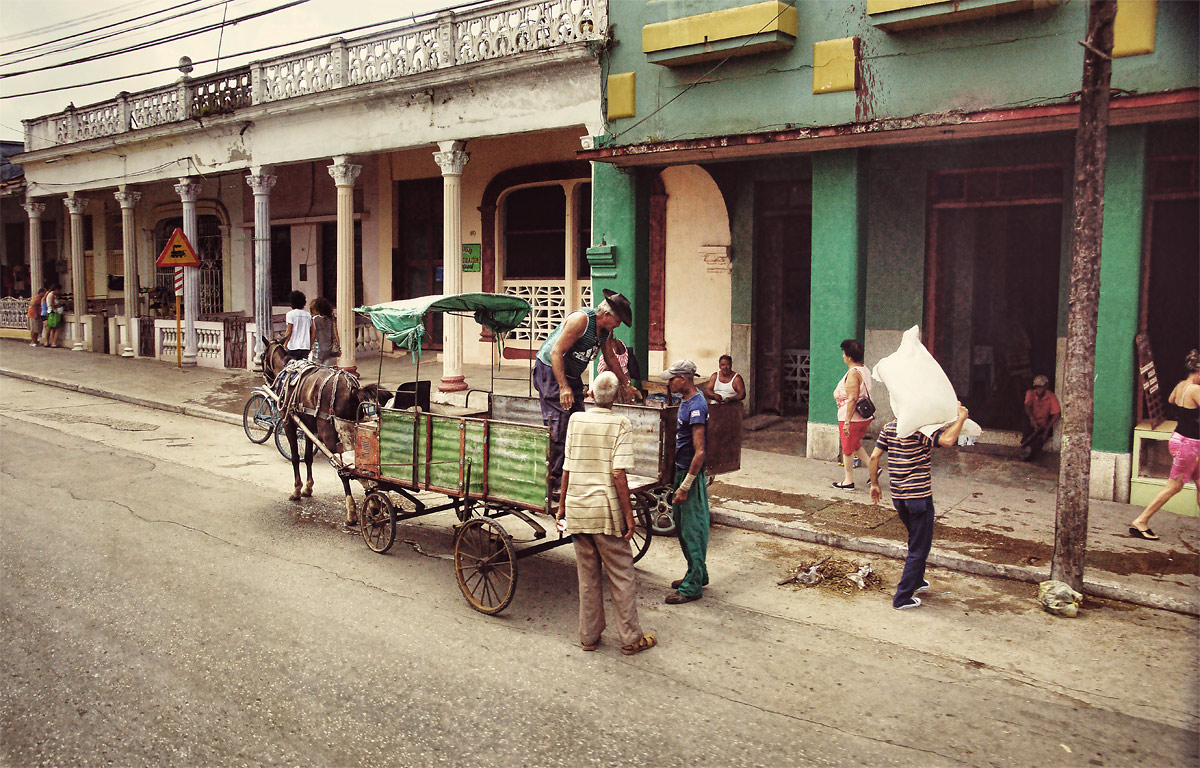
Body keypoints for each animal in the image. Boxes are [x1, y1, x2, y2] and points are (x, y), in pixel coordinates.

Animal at [262, 340, 393, 528]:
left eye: (262, 356)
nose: (265, 377)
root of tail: (353, 389)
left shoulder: (289, 424)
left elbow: (295, 458)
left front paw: (297, 490)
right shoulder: (309, 427)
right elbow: (308, 457)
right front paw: (308, 488)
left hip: (330, 436)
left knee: (343, 469)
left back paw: (352, 512)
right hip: (350, 430)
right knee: (359, 465)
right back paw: (373, 501)